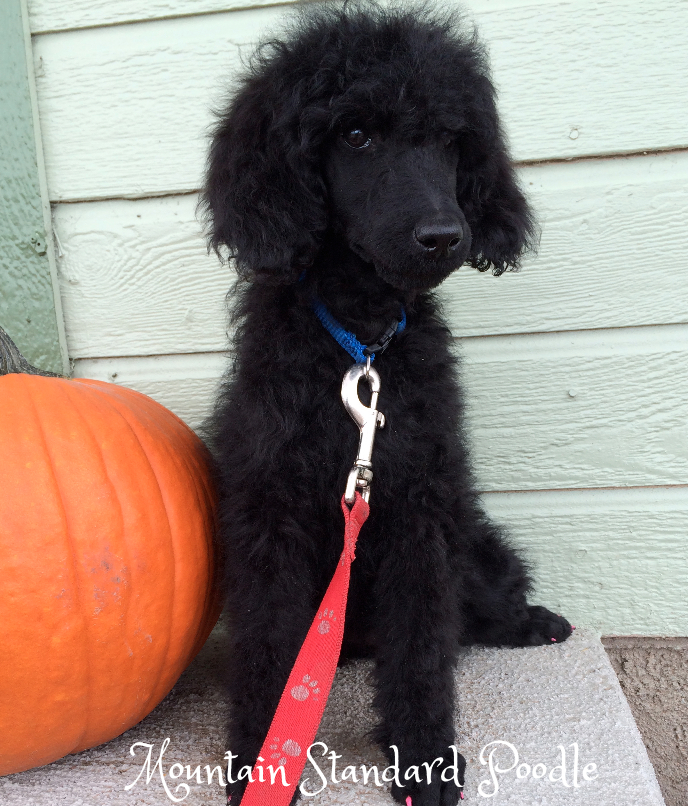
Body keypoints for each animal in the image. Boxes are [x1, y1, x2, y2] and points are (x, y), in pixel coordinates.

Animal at [202, 3, 572, 804]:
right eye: (355, 134)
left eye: (450, 140)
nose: (445, 236)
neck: (361, 348)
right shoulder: (270, 516)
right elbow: (269, 642)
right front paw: (260, 763)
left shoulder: (419, 512)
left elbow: (423, 646)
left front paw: (426, 761)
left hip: (475, 547)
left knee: (479, 610)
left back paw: (534, 621)